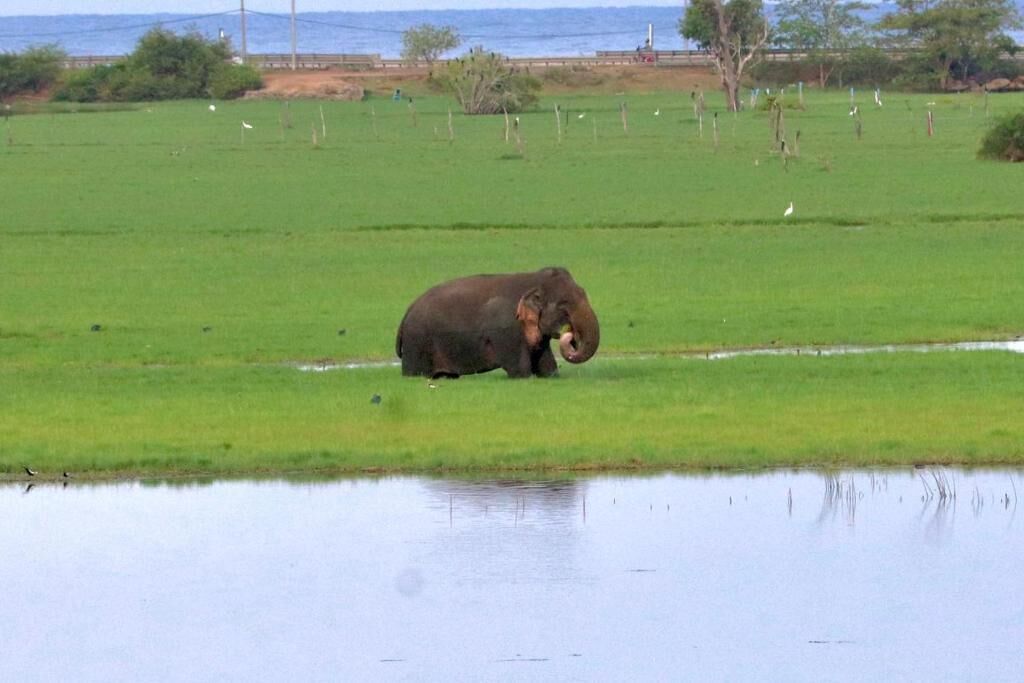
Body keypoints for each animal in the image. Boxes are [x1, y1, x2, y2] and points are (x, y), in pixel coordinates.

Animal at [396, 267, 600, 378]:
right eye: (564, 305)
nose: (571, 334)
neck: (532, 278)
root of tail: (406, 313)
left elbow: (548, 367)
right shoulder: (507, 328)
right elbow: (520, 371)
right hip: (417, 344)